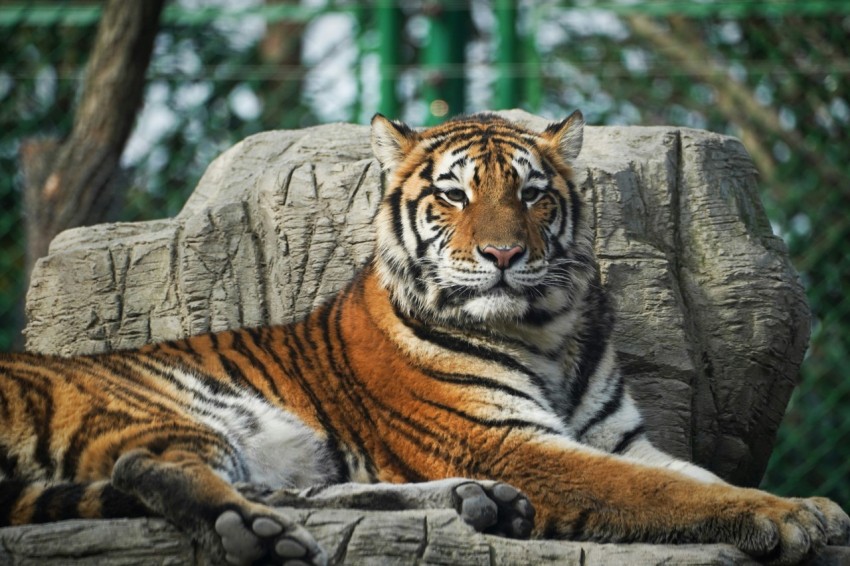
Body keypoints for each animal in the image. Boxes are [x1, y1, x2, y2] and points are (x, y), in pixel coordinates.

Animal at [1, 112, 848, 566]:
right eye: (454, 194)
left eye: (532, 195)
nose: (503, 255)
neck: (547, 332)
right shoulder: (506, 440)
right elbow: (663, 491)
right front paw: (789, 517)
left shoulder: (618, 438)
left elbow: (693, 477)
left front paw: (811, 506)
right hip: (164, 402)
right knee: (153, 466)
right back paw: (253, 534)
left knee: (285, 488)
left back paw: (481, 505)